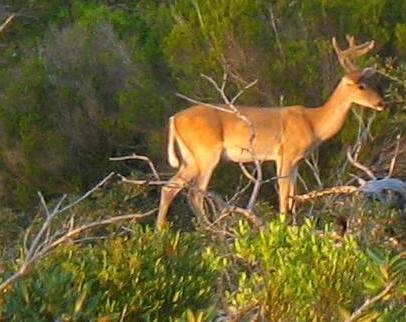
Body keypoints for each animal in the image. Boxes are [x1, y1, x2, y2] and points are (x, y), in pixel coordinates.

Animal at [157, 35, 386, 229]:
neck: (314, 123)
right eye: (361, 86)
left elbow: (293, 197)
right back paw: (212, 231)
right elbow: (283, 197)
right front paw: (282, 228)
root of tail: (174, 119)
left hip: (190, 158)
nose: (381, 103)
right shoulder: (285, 153)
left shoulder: (296, 161)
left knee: (169, 188)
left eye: (374, 82)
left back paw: (162, 232)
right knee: (195, 194)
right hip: (206, 153)